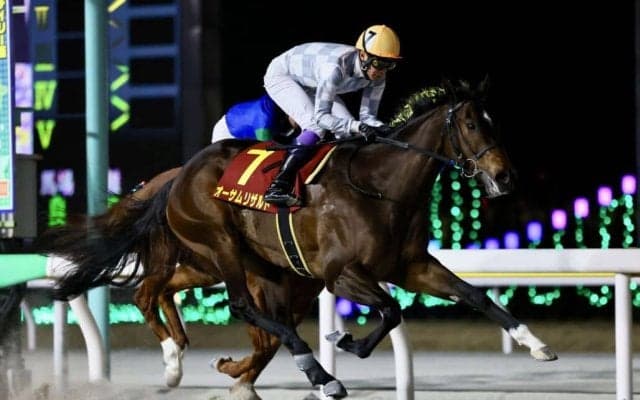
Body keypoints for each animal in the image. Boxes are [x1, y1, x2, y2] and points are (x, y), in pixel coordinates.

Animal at [49, 79, 558, 398]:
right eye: (472, 124)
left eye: (495, 123)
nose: (505, 177)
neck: (382, 186)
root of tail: (180, 174)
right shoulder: (340, 274)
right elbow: (390, 310)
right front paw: (346, 342)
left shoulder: (411, 266)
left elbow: (474, 295)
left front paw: (535, 344)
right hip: (223, 246)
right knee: (239, 307)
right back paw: (313, 371)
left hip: (230, 262)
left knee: (163, 291)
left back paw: (187, 359)